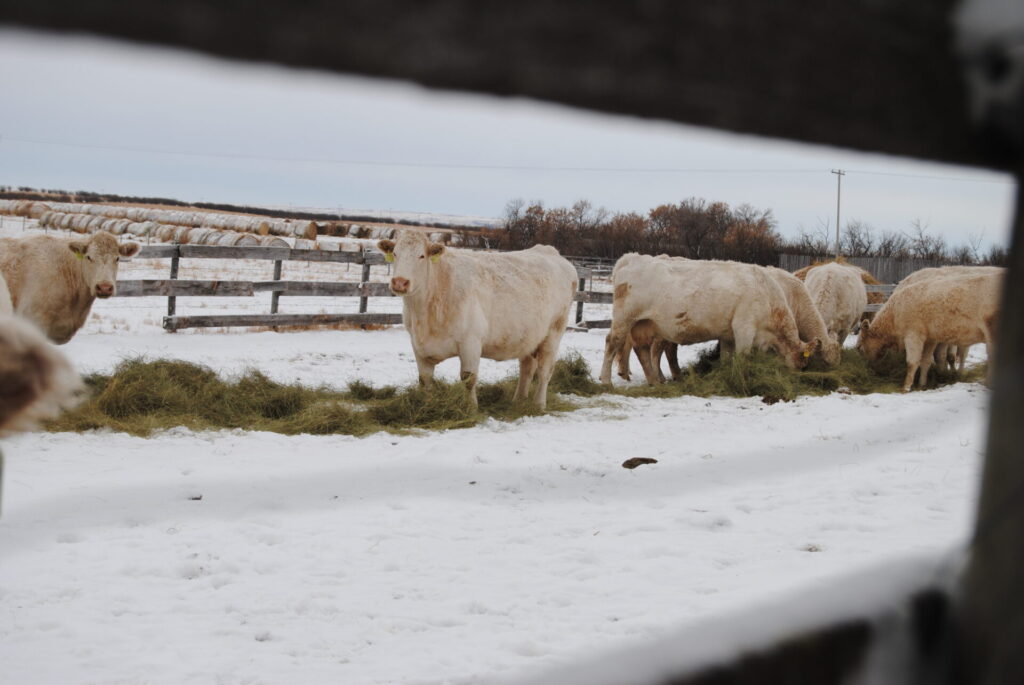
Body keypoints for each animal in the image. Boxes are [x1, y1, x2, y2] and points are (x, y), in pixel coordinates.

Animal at [377, 230, 578, 409]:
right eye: (395, 253)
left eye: (421, 256)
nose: (400, 282)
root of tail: (550, 251)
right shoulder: (418, 345)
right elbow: (425, 380)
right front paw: (426, 406)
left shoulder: (471, 342)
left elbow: (468, 378)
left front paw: (471, 408)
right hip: (529, 336)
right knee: (527, 368)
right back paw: (518, 401)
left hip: (554, 332)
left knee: (545, 371)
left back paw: (539, 405)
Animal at [600, 253, 819, 385]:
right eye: (803, 364)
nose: (799, 378)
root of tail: (631, 258)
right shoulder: (744, 328)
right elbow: (743, 357)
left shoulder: (728, 335)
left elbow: (727, 358)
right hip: (624, 319)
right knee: (613, 343)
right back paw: (607, 380)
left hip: (644, 324)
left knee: (642, 349)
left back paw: (654, 381)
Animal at [856, 270, 1002, 391]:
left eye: (860, 347)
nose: (868, 367)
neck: (894, 313)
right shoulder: (931, 338)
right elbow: (925, 361)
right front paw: (922, 384)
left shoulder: (913, 335)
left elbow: (912, 362)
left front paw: (906, 387)